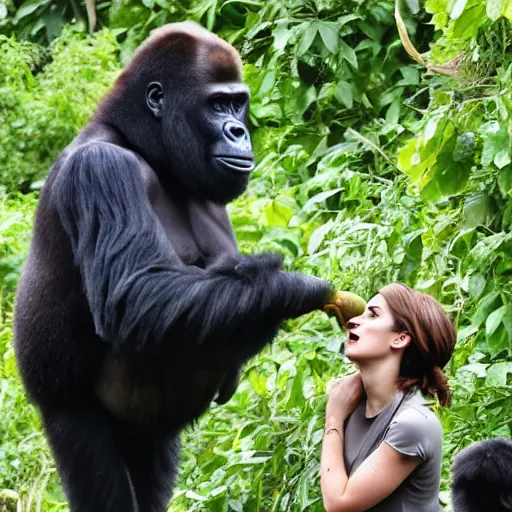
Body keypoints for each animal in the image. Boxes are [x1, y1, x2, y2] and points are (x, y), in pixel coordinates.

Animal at [13, 21, 364, 512]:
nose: (239, 131)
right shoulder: (100, 166)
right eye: (216, 105)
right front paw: (296, 289)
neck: (138, 141)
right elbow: (137, 296)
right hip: (69, 414)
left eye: (237, 102)